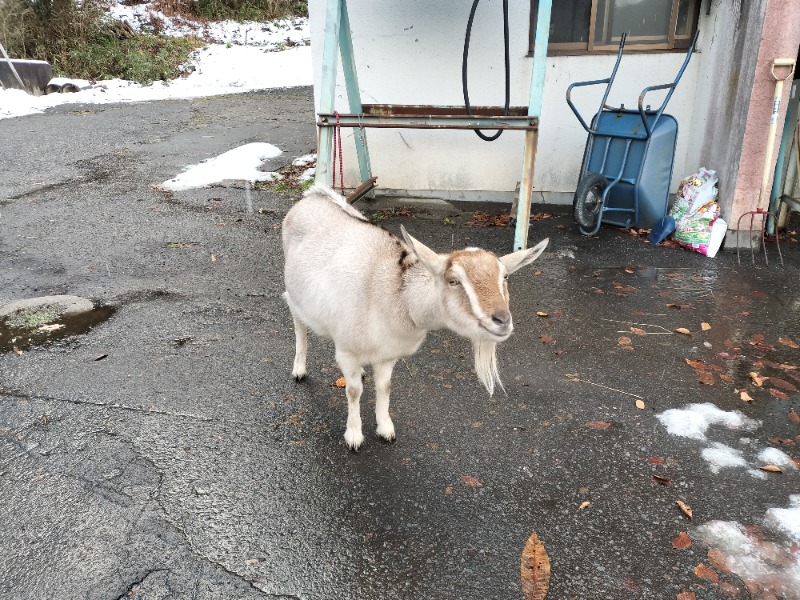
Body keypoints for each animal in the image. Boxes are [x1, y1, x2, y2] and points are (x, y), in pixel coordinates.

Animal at [282, 188, 552, 450]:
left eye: (505, 277)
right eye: (453, 280)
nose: (502, 320)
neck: (393, 295)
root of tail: (312, 195)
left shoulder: (388, 354)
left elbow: (385, 387)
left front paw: (385, 429)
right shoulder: (347, 350)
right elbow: (353, 391)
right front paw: (354, 436)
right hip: (294, 295)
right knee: (298, 322)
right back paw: (299, 369)